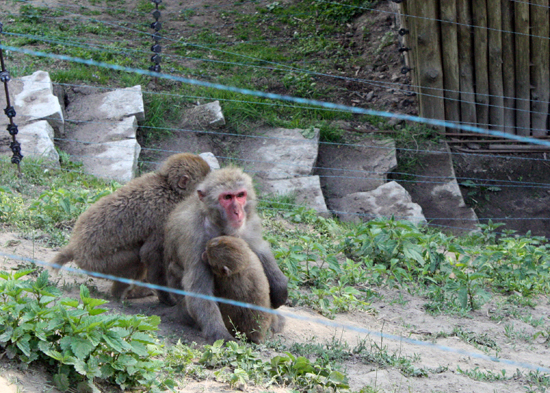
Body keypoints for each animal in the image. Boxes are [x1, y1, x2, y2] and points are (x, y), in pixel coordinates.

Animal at [51, 152, 211, 300]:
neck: (170, 187)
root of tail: (75, 247)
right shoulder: (165, 216)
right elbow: (150, 253)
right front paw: (166, 298)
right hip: (100, 264)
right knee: (136, 258)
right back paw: (121, 293)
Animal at [164, 165, 288, 340]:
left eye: (240, 195)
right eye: (227, 197)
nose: (238, 212)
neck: (218, 223)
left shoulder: (249, 221)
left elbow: (259, 248)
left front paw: (280, 287)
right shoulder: (195, 236)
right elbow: (199, 290)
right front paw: (220, 334)